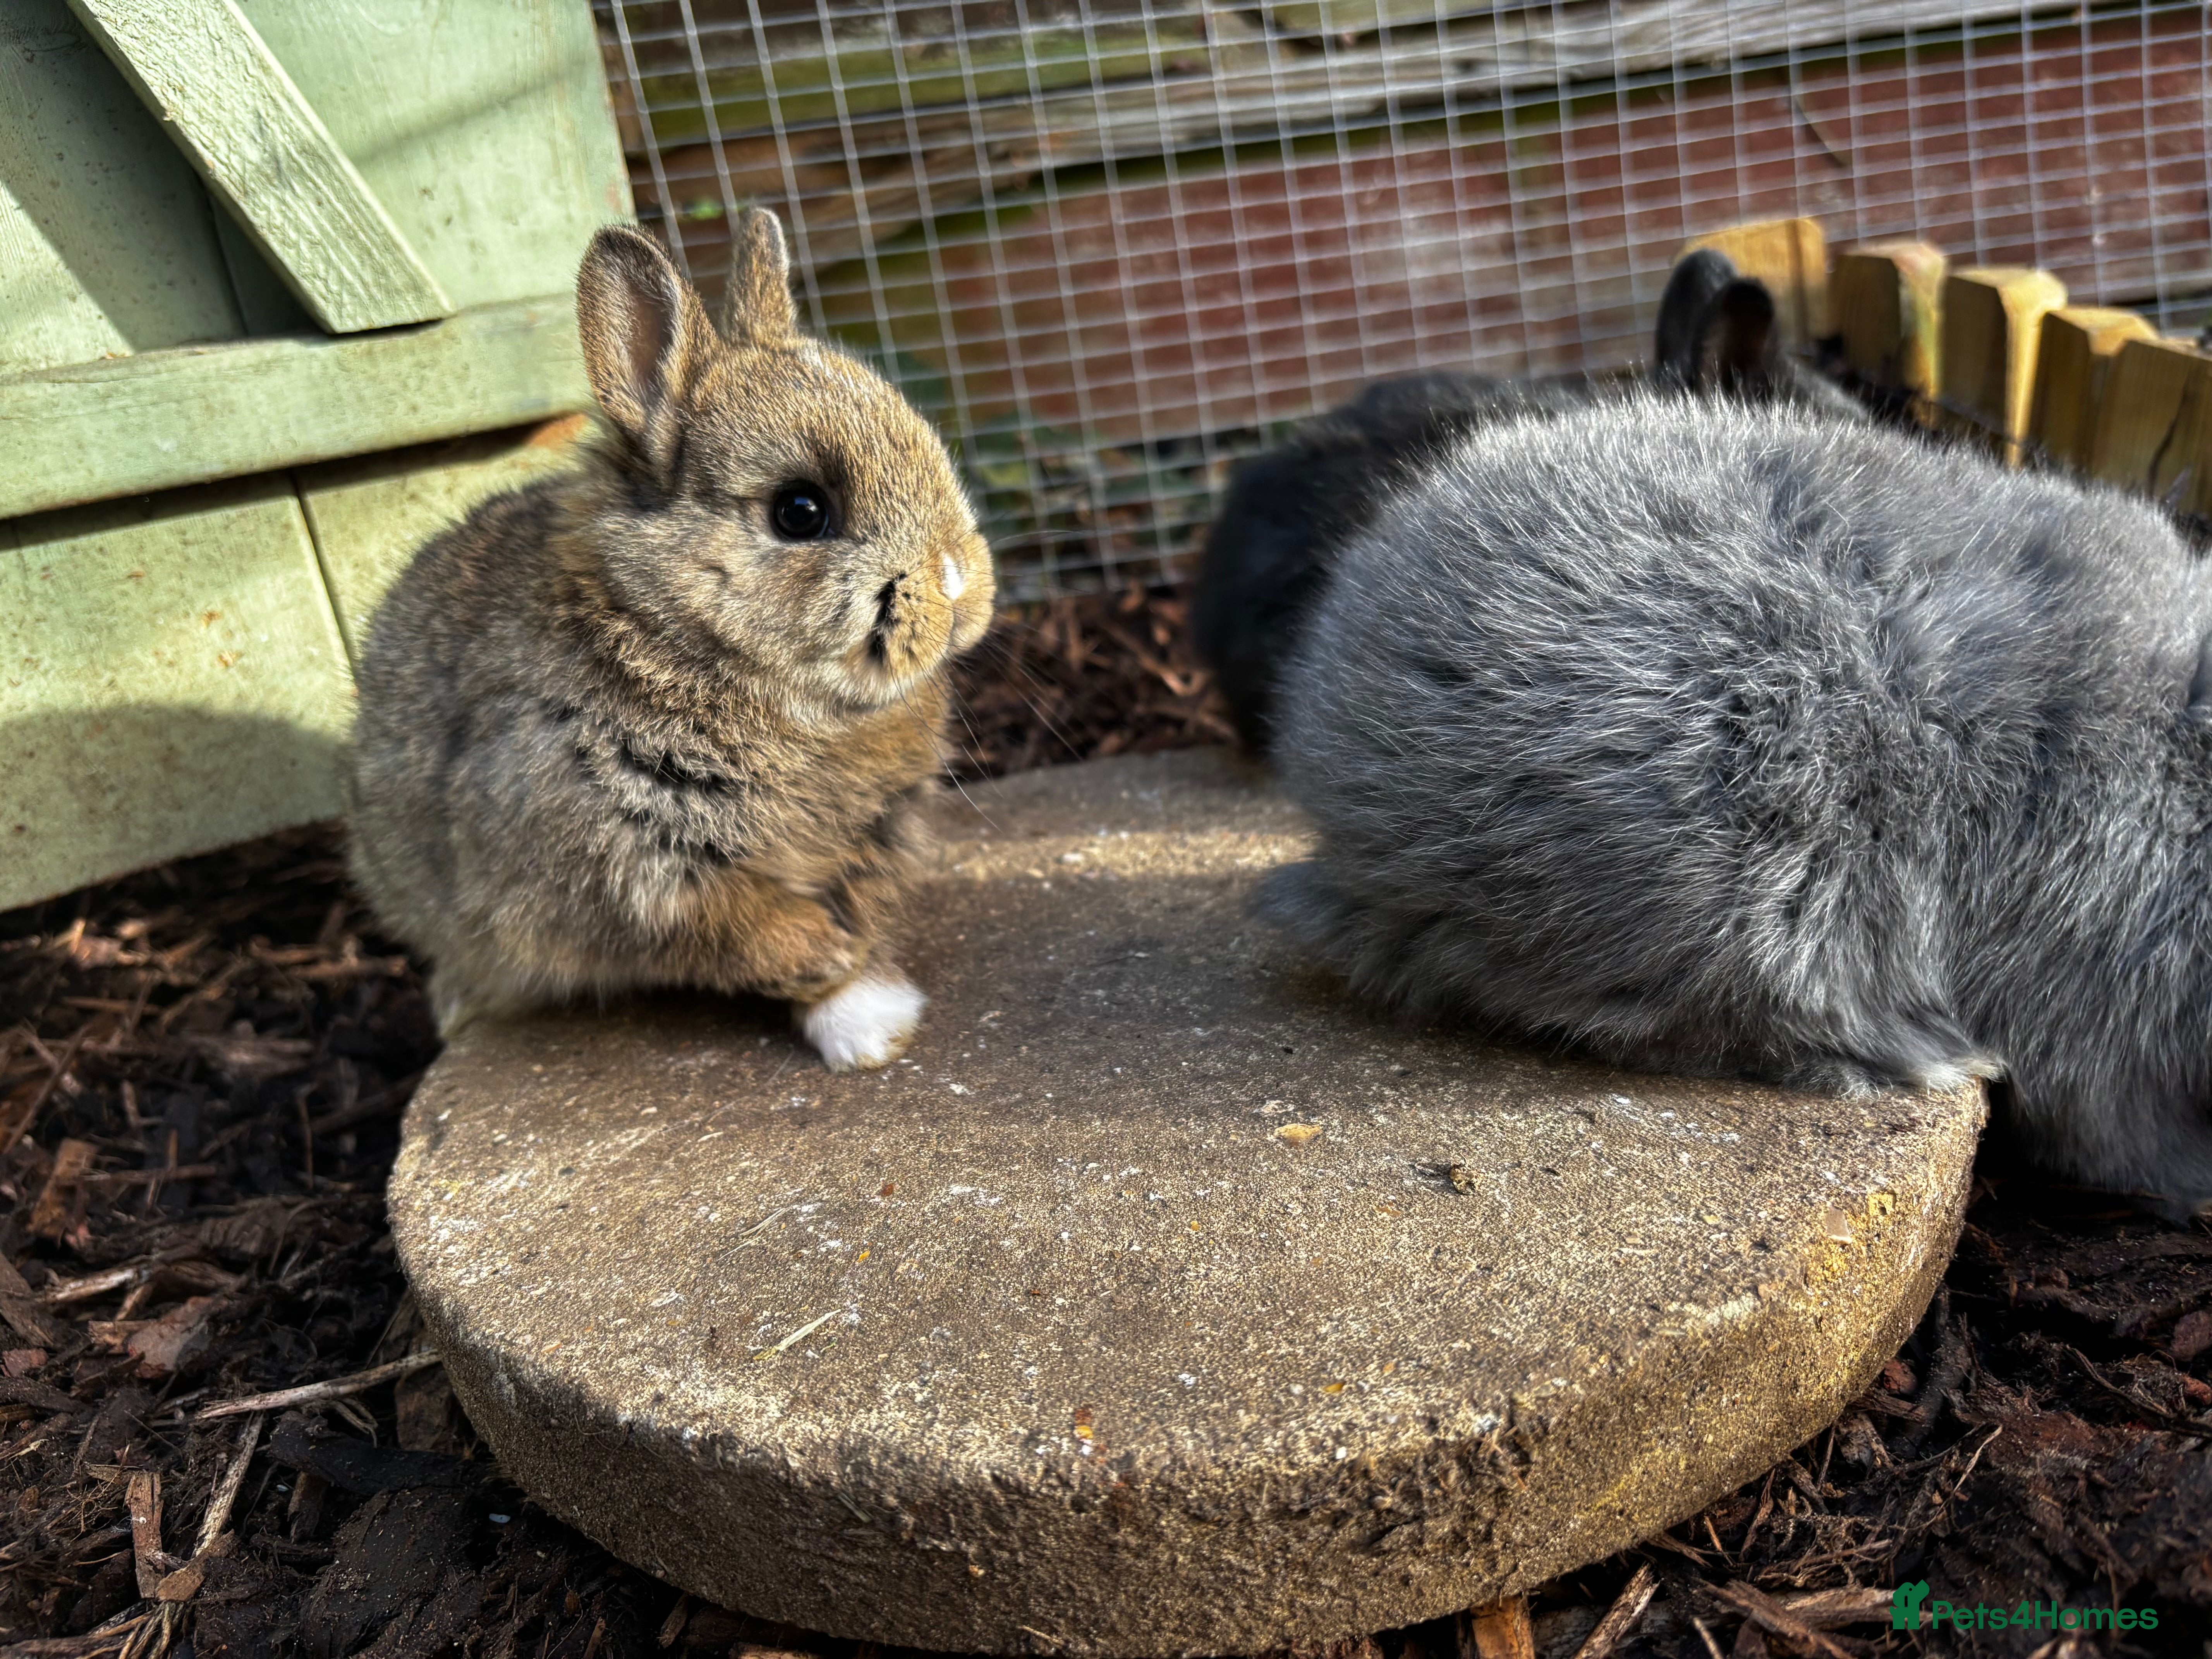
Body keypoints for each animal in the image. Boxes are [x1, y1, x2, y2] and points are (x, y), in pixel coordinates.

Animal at [346, 210, 995, 1072]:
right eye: (800, 511)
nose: (960, 588)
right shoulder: (638, 878)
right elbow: (758, 939)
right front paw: (859, 1015)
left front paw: (872, 1022)